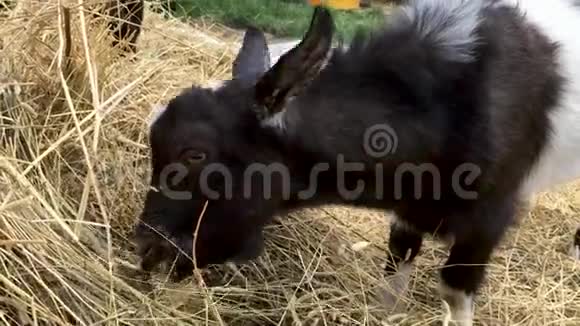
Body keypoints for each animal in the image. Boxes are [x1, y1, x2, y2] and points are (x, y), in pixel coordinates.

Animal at [134, 1, 580, 324]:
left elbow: (454, 292)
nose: (148, 251)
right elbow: (395, 267)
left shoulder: (489, 218)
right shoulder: (411, 209)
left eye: (195, 153)